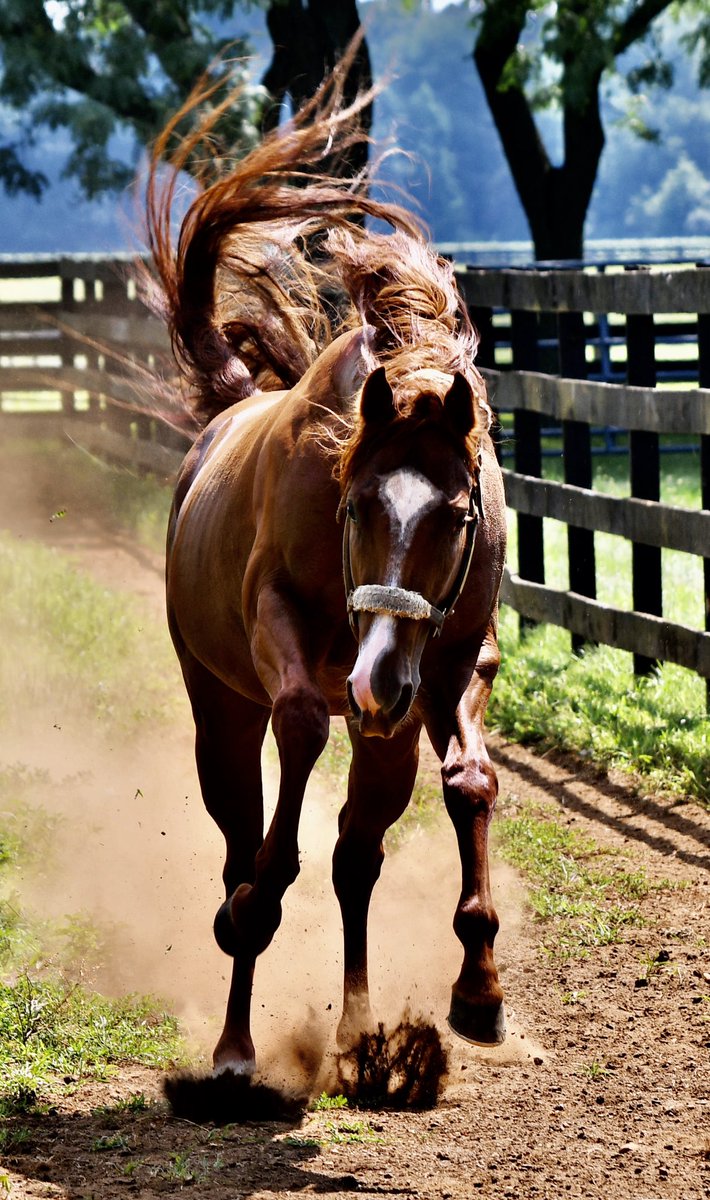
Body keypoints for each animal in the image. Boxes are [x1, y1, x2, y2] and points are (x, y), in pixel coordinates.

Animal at [145, 55, 508, 1081]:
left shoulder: (455, 658)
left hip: (385, 738)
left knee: (355, 858)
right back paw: (235, 1039)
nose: (378, 680)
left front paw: (479, 992)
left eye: (457, 514)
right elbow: (300, 732)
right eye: (354, 508)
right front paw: (254, 911)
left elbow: (470, 782)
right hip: (220, 711)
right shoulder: (286, 637)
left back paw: (358, 1031)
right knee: (241, 839)